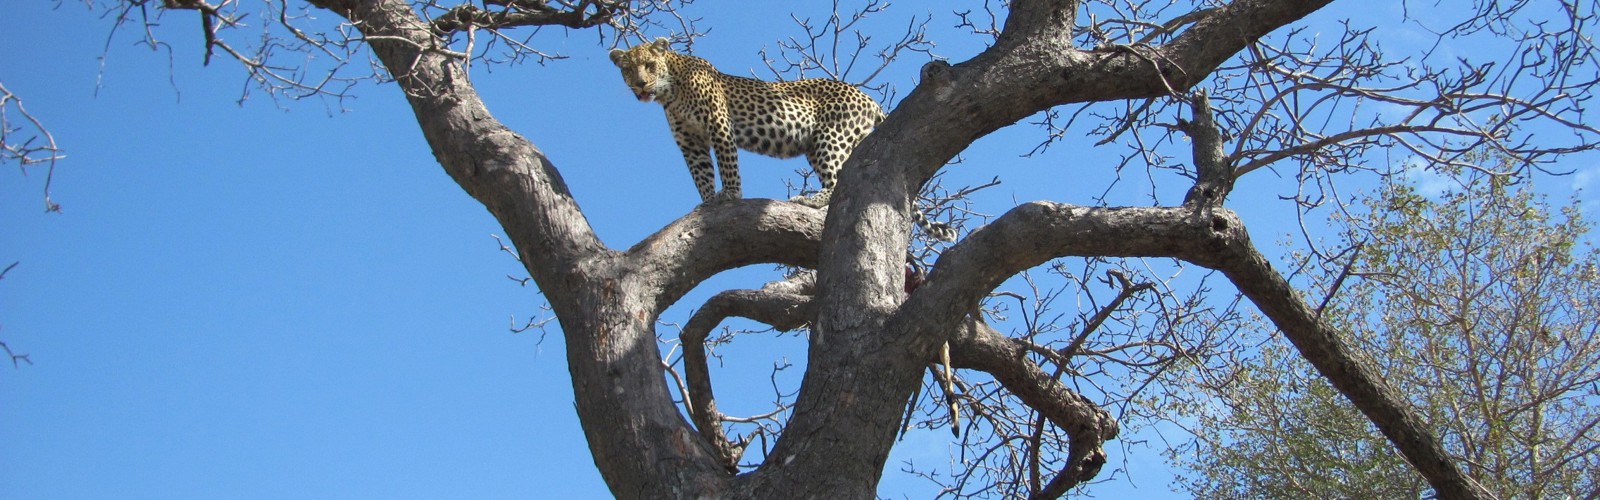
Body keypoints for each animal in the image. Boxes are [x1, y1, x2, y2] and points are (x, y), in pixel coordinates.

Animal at [609, 38, 955, 241]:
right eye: (628, 70)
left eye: (649, 65)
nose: (640, 84)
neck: (671, 91)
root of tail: (868, 99)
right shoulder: (690, 142)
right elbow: (702, 174)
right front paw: (707, 201)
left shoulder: (718, 124)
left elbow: (727, 164)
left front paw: (731, 195)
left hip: (830, 137)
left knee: (838, 180)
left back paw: (809, 199)